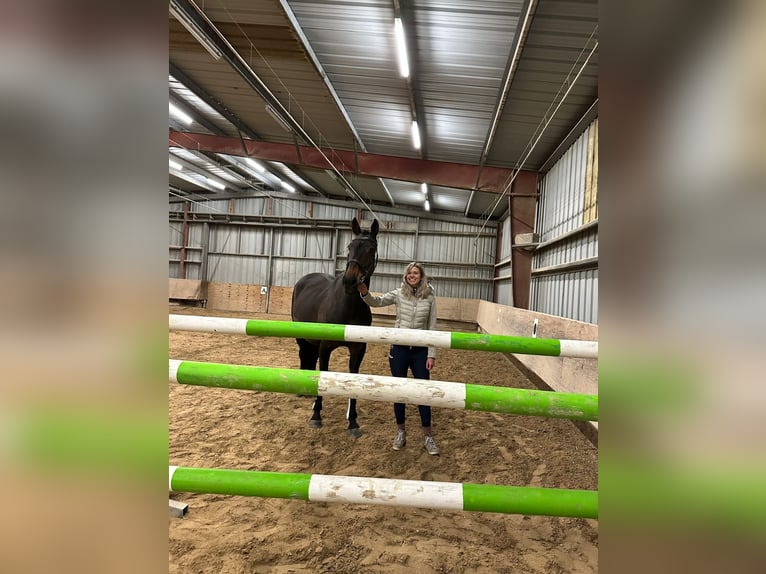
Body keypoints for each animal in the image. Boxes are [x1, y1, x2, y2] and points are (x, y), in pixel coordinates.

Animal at [290, 217, 379, 438]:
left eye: (371, 249)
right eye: (349, 246)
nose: (350, 281)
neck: (348, 305)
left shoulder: (358, 350)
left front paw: (353, 422)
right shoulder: (325, 347)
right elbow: (323, 373)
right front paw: (316, 415)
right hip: (301, 336)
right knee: (303, 355)